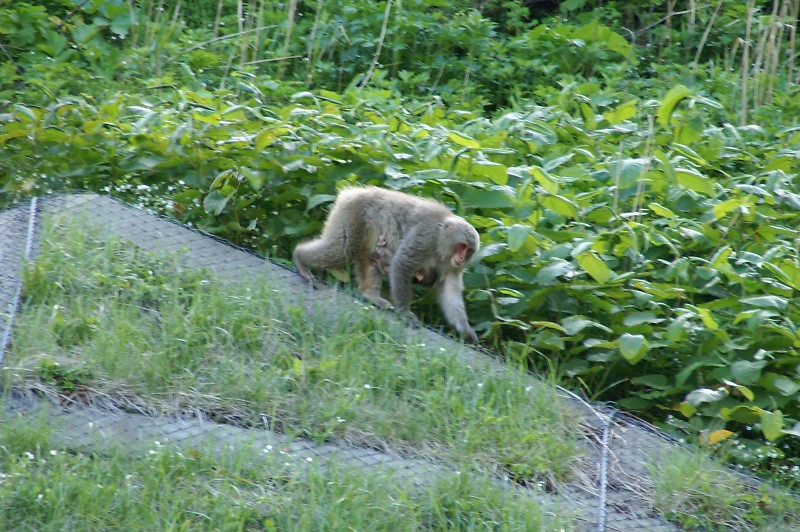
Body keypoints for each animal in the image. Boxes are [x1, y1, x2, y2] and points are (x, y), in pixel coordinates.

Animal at [293, 186, 480, 343]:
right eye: (462, 246)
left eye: (468, 250)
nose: (461, 258)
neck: (440, 241)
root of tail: (353, 193)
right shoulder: (425, 237)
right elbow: (403, 264)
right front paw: (405, 312)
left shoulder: (451, 266)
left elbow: (450, 292)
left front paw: (465, 330)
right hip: (351, 214)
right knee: (342, 250)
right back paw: (300, 258)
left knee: (369, 258)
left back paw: (370, 294)